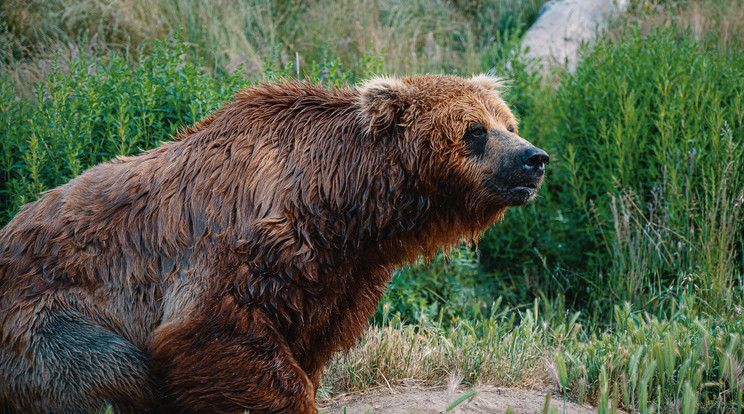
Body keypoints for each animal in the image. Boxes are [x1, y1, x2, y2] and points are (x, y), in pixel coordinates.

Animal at [0, 74, 548, 414]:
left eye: (509, 123)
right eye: (474, 131)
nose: (533, 158)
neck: (344, 204)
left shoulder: (343, 274)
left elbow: (311, 341)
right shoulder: (243, 245)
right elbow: (215, 330)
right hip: (44, 319)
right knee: (112, 365)